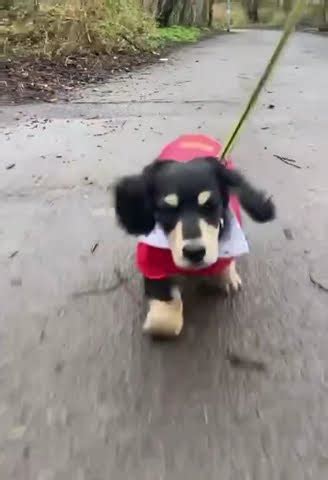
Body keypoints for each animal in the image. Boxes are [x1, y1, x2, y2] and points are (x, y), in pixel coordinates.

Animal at [114, 135, 276, 338]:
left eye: (210, 205)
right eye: (167, 209)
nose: (194, 252)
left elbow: (225, 261)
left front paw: (227, 275)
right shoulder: (151, 263)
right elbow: (165, 317)